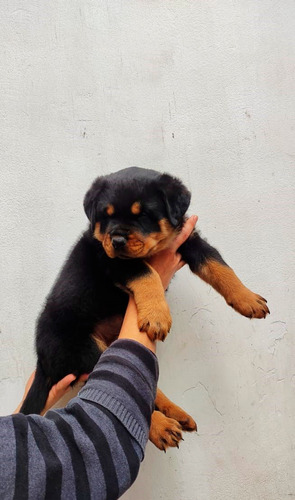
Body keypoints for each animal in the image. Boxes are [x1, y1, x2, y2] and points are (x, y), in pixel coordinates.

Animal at [19, 167, 270, 450]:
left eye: (144, 215)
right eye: (105, 216)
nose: (117, 239)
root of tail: (41, 358)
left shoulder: (190, 240)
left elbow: (219, 265)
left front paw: (248, 299)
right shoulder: (113, 261)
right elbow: (147, 273)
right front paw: (158, 316)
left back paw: (176, 414)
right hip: (84, 349)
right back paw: (161, 427)